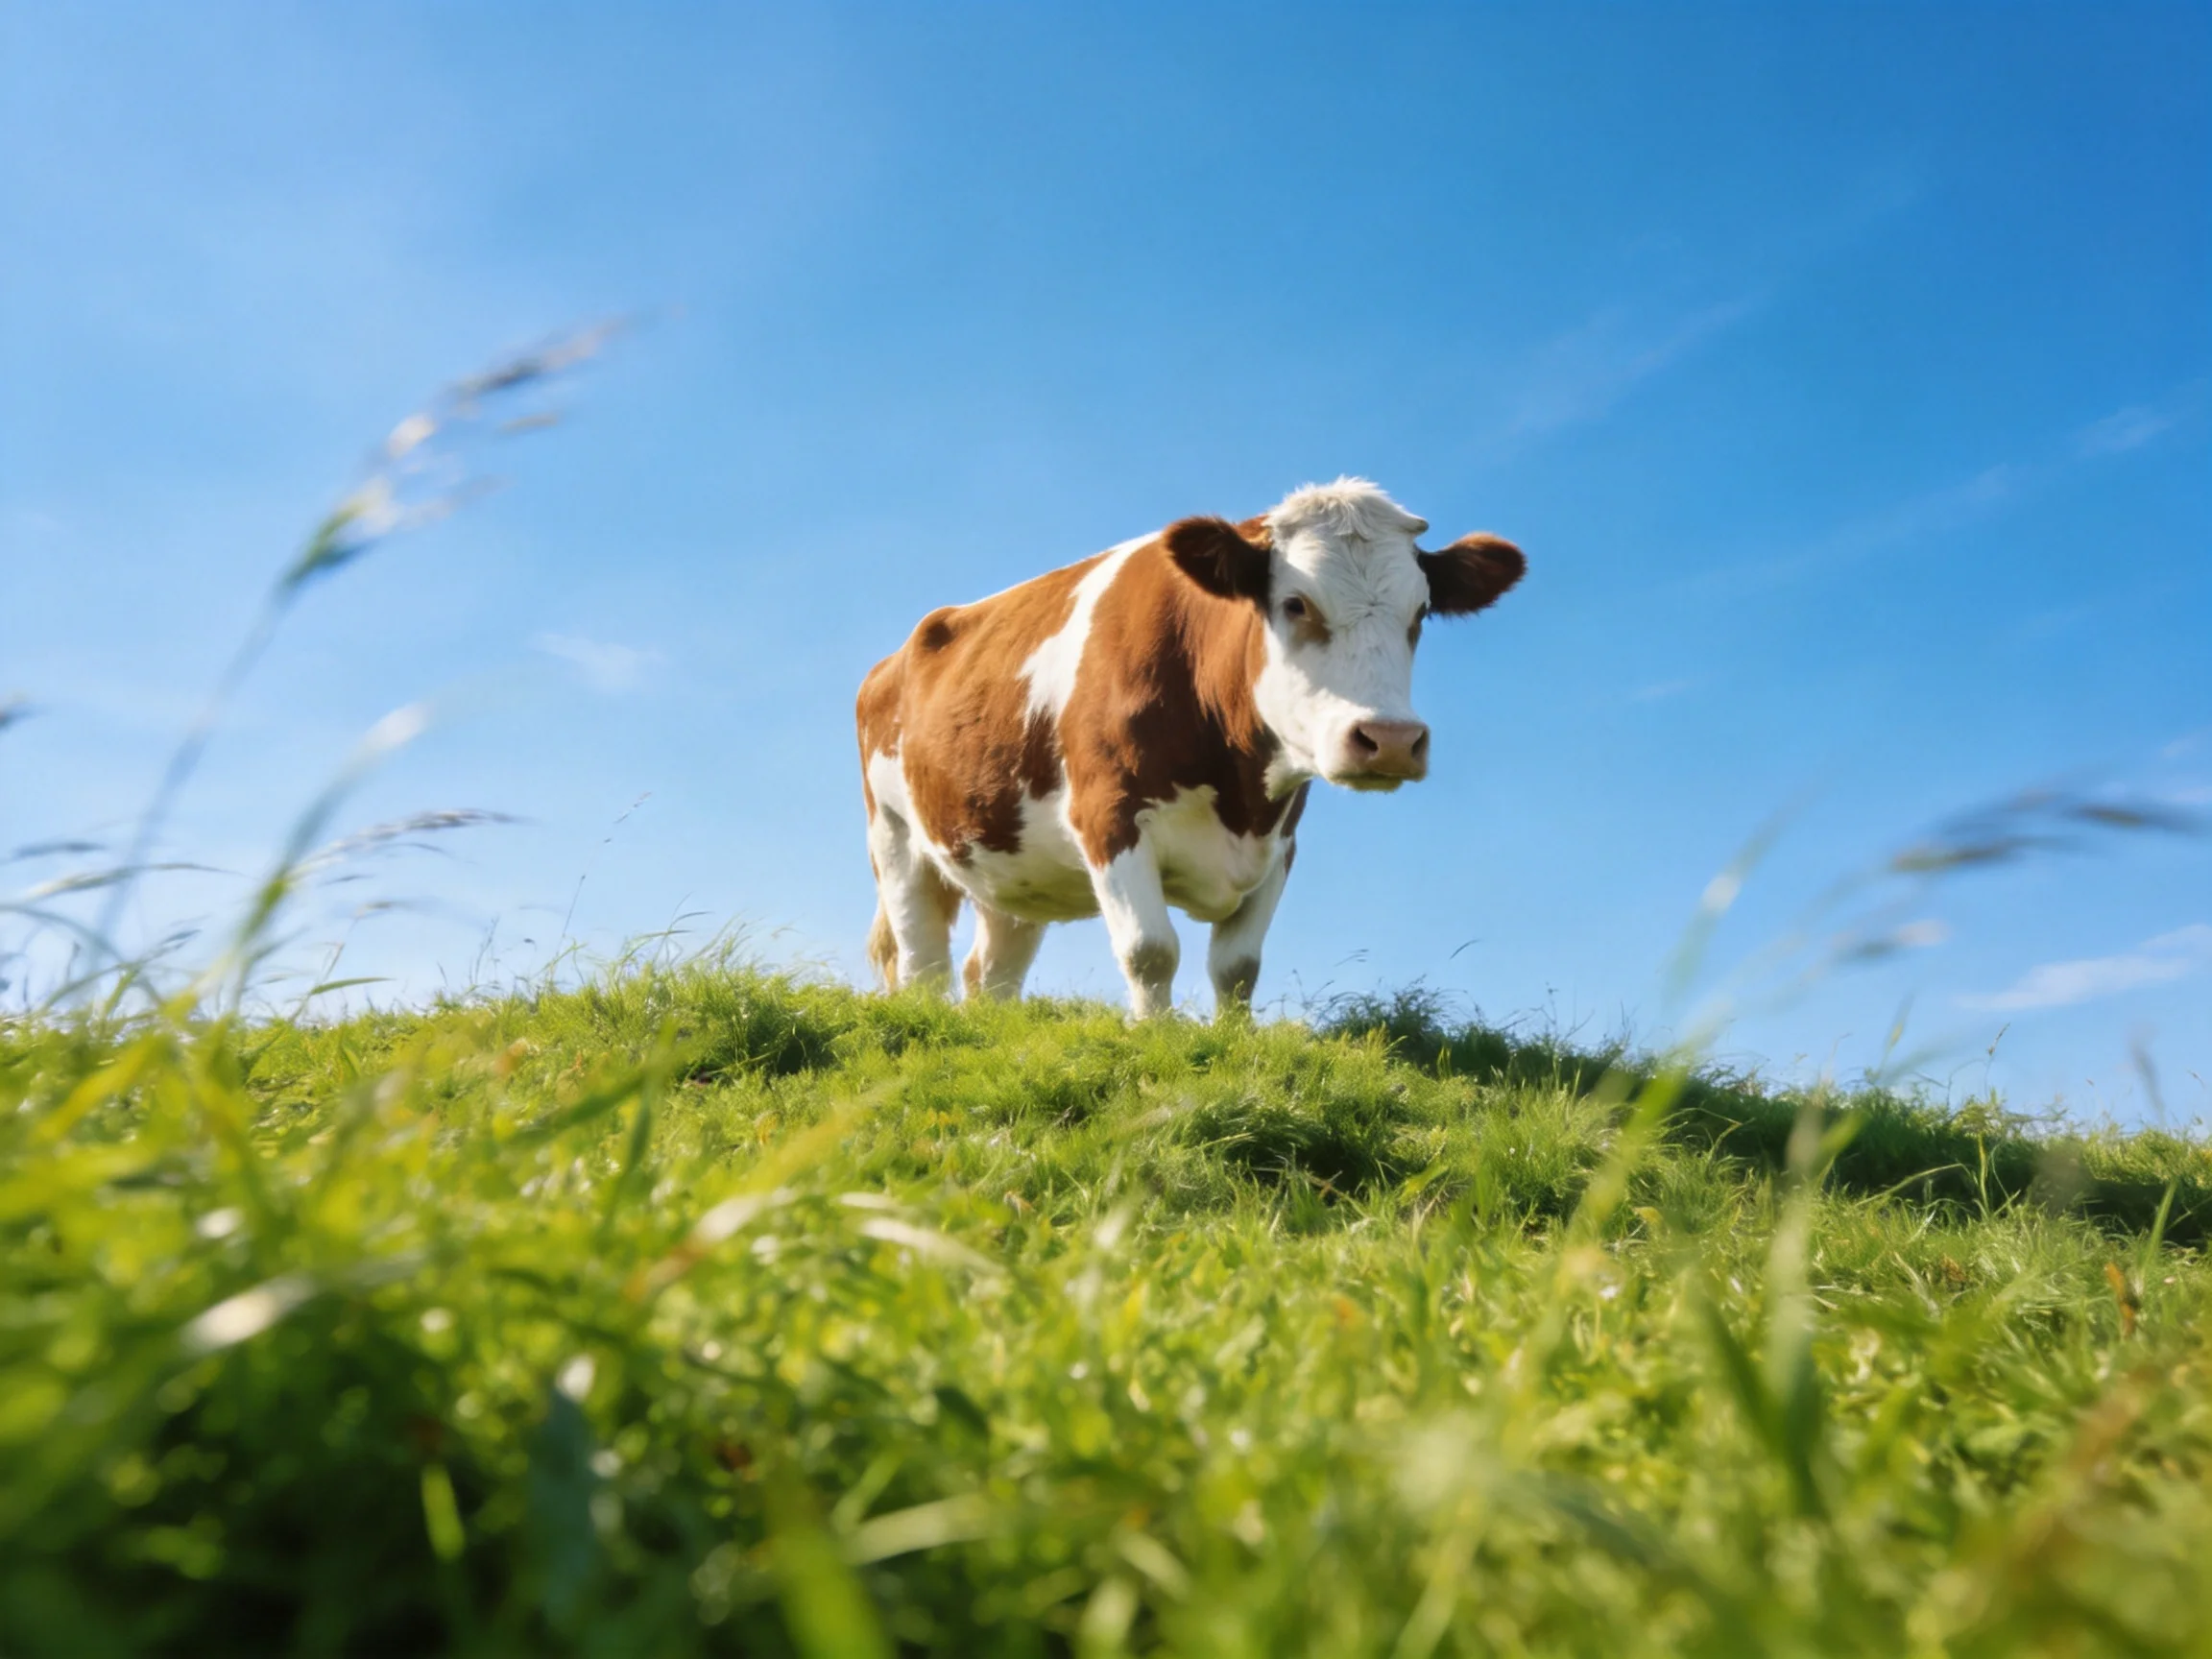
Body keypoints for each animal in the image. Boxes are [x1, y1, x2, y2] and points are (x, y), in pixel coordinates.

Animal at [855, 478, 1524, 1017]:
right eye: (1295, 603)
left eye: (1421, 612)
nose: (1389, 739)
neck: (1237, 792)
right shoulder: (1108, 814)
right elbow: (1150, 951)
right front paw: (1156, 1038)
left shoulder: (1281, 842)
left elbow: (1238, 968)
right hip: (895, 836)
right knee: (921, 963)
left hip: (1010, 862)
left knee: (991, 970)